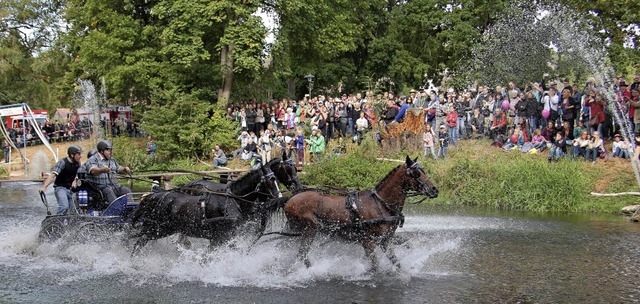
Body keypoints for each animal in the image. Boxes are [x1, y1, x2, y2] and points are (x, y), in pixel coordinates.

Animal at [130, 160, 284, 253]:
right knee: (139, 242)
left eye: (276, 179)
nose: (279, 197)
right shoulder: (220, 237)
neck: (234, 201)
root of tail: (153, 197)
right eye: (270, 181)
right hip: (158, 228)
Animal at [270, 157, 440, 270]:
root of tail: (290, 199)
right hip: (309, 229)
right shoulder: (368, 240)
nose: (434, 190)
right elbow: (375, 266)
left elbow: (396, 262)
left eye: (423, 171)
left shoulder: (385, 240)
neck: (379, 204)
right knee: (301, 253)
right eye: (416, 173)